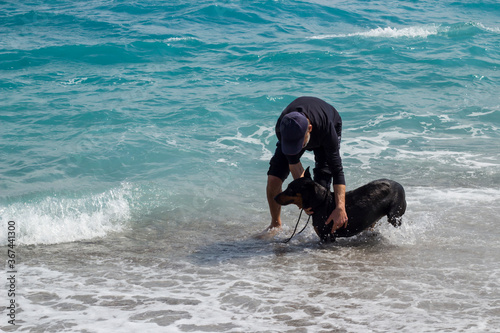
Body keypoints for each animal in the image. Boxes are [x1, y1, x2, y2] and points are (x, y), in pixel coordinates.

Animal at [274, 167, 406, 240]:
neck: (320, 202)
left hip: (394, 216)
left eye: (290, 189)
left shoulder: (326, 237)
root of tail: (401, 186)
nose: (275, 197)